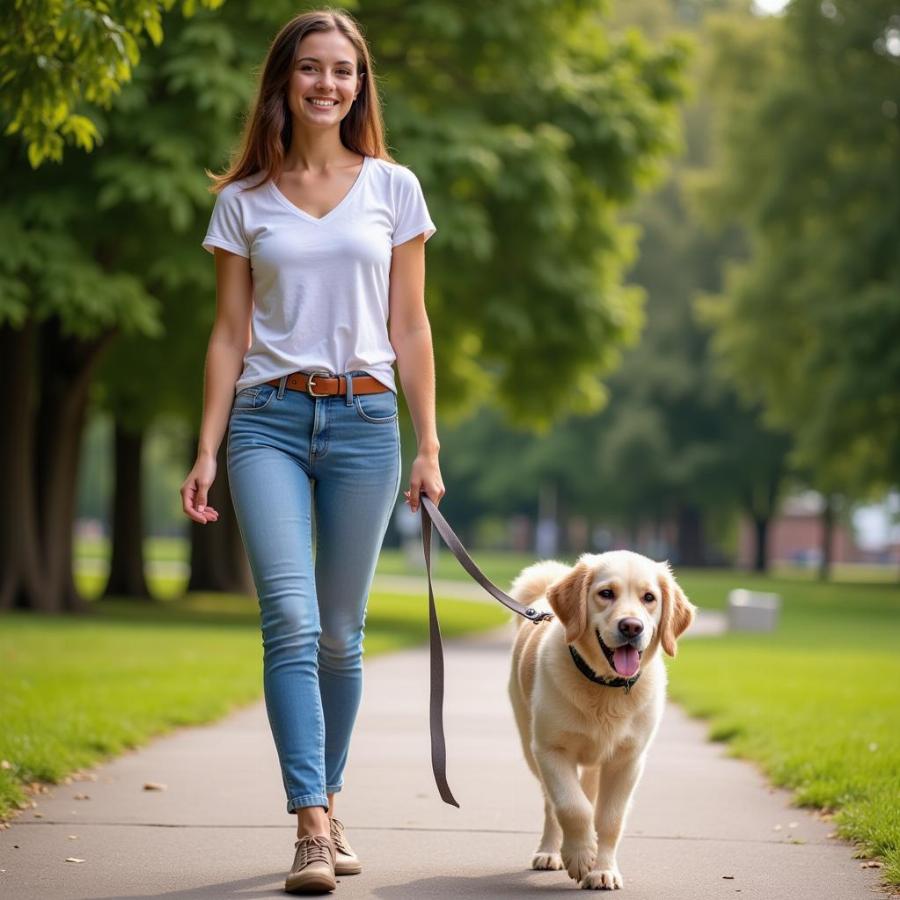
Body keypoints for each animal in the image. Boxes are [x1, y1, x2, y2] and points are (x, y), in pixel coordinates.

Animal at [506, 552, 696, 888]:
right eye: (606, 593)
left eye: (649, 598)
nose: (631, 627)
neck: (605, 688)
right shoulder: (551, 750)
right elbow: (571, 806)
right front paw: (581, 855)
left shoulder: (627, 760)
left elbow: (609, 818)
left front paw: (603, 869)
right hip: (530, 747)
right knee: (551, 804)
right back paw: (549, 852)